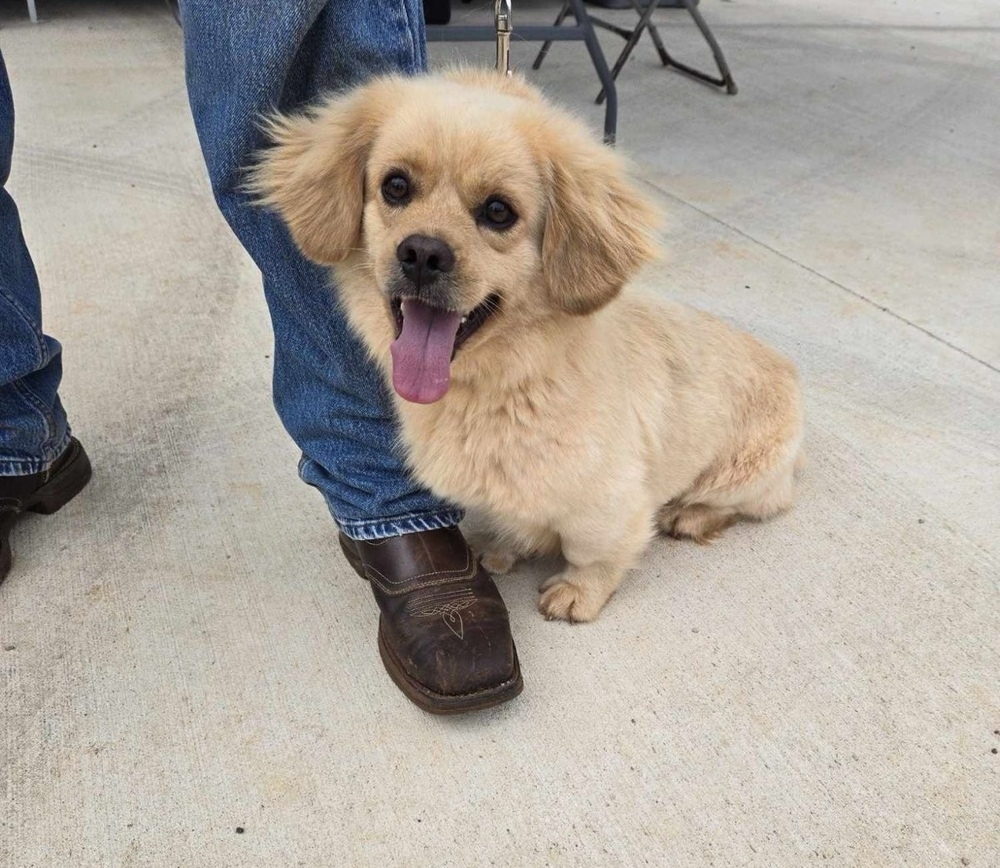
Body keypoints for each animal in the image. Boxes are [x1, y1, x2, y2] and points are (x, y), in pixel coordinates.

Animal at [252, 69, 804, 624]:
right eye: (396, 186)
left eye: (499, 211)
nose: (423, 253)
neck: (504, 385)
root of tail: (789, 371)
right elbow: (506, 524)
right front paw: (499, 550)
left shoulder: (609, 506)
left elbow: (595, 554)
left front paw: (578, 592)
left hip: (744, 475)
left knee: (763, 502)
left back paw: (689, 513)